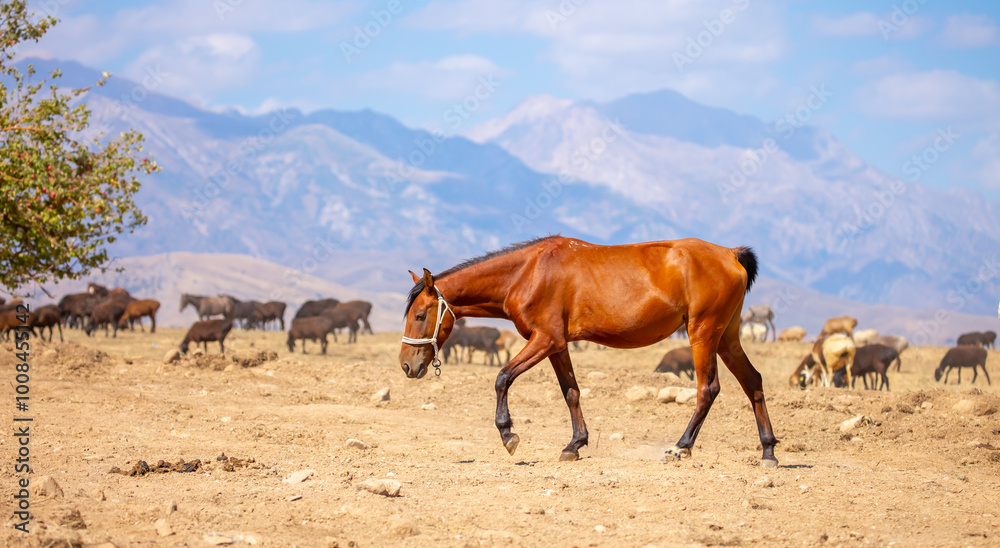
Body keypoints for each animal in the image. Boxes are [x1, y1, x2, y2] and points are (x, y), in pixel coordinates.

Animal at [398, 236, 778, 467]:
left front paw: (508, 434)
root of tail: (731, 253)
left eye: (420, 315)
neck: (527, 272)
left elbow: (502, 377)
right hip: (727, 338)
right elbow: (572, 392)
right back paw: (768, 450)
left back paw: (681, 446)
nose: (406, 366)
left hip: (703, 334)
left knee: (707, 389)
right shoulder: (557, 345)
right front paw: (575, 445)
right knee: (753, 382)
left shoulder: (544, 340)